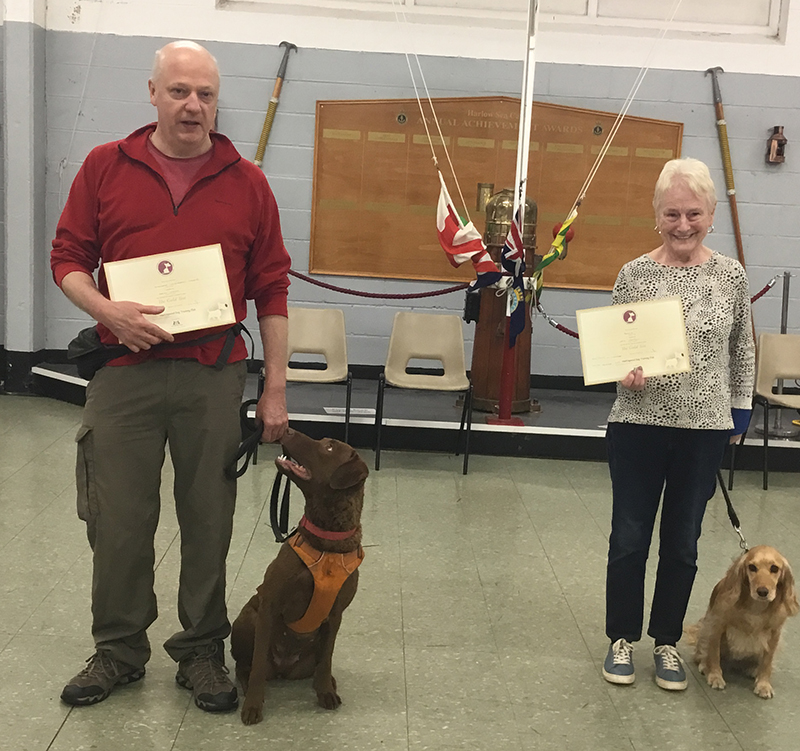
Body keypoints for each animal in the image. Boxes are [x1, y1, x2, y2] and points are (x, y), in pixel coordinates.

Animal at [231, 428, 368, 725]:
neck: (327, 543)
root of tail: (284, 669)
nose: (287, 429)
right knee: (244, 665)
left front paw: (326, 692)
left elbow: (327, 658)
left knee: (318, 665)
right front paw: (253, 705)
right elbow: (257, 665)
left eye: (329, 447)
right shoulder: (269, 605)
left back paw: (327, 683)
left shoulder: (336, 614)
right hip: (247, 619)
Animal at [690, 545, 799, 698]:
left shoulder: (775, 633)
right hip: (704, 629)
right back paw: (704, 665)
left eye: (774, 568)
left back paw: (754, 669)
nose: (762, 591)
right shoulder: (716, 624)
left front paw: (763, 684)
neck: (756, 607)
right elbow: (714, 653)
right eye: (752, 567)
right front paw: (715, 675)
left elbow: (767, 661)